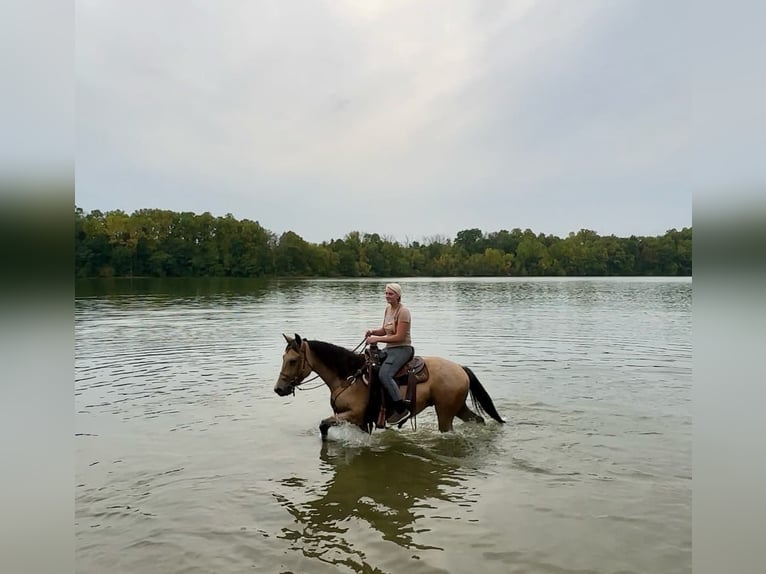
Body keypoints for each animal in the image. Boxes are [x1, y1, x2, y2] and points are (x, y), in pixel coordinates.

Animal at [272, 332, 508, 440]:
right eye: (284, 358)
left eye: (293, 360)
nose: (278, 389)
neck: (348, 377)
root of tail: (460, 368)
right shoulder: (356, 419)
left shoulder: (354, 415)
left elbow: (323, 425)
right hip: (457, 407)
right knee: (478, 420)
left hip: (445, 412)